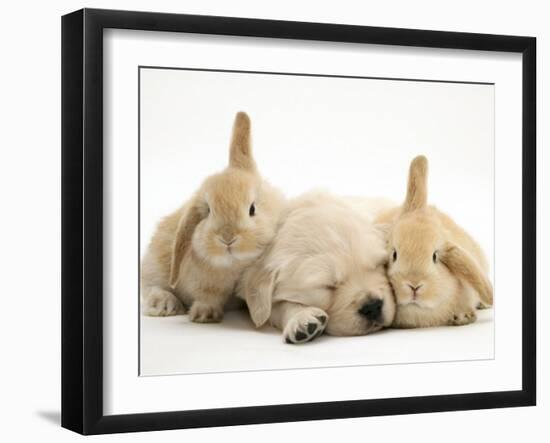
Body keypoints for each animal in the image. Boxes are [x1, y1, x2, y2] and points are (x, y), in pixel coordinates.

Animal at [142, 112, 286, 322]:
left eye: (252, 209)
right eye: (209, 211)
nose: (227, 238)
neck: (235, 266)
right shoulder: (205, 284)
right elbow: (208, 296)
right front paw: (204, 314)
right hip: (154, 265)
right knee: (150, 286)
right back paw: (164, 305)